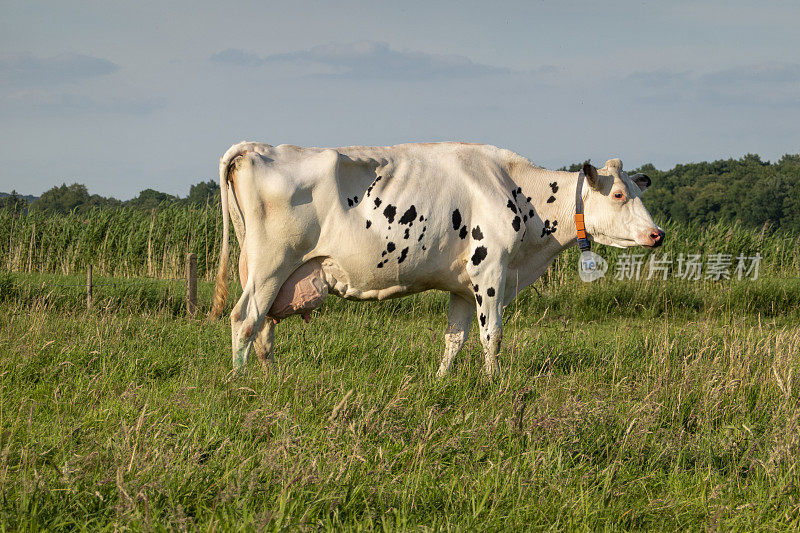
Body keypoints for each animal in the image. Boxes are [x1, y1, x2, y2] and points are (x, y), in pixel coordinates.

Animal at [208, 140, 664, 374]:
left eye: (637, 191)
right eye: (618, 194)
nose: (657, 234)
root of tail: (257, 147)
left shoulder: (463, 285)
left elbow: (454, 338)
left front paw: (443, 381)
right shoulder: (491, 271)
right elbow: (492, 335)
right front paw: (495, 385)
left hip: (268, 270)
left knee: (264, 327)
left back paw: (271, 381)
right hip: (271, 263)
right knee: (245, 319)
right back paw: (242, 383)